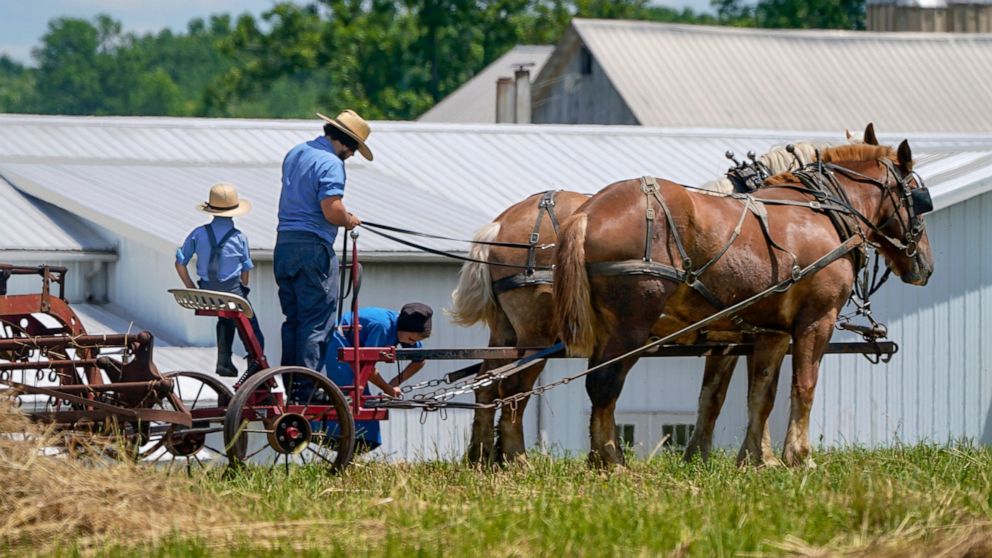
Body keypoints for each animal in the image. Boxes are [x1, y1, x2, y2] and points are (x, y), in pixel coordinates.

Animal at [556, 135, 932, 468]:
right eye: (919, 198)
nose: (926, 265)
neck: (825, 214)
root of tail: (589, 211)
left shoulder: (764, 332)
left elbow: (753, 395)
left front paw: (753, 459)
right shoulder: (816, 320)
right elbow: (803, 386)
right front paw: (799, 457)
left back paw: (598, 458)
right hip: (631, 325)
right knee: (604, 384)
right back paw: (611, 460)